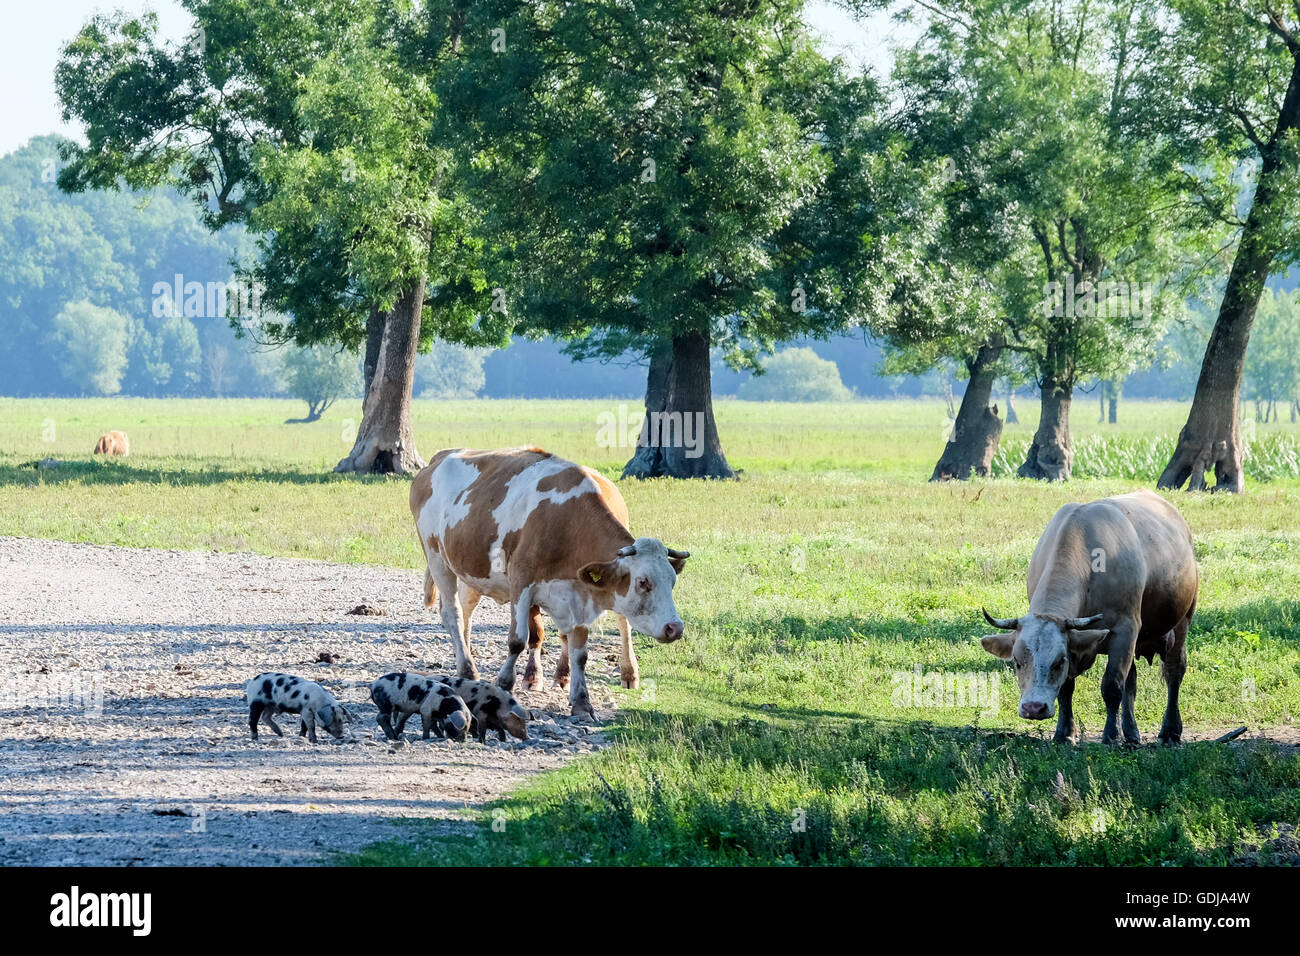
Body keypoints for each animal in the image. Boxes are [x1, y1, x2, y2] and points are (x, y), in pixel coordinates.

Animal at [409, 446, 689, 717]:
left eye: (673, 581)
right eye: (643, 582)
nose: (675, 628)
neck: (568, 523)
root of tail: (440, 457)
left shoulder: (580, 593)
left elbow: (579, 650)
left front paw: (582, 703)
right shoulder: (521, 581)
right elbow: (518, 640)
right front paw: (505, 684)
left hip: (472, 568)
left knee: (466, 612)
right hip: (436, 556)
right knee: (453, 614)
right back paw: (468, 670)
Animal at [978, 490, 1198, 745]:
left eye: (1058, 662)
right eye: (1016, 661)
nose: (1033, 708)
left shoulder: (1125, 630)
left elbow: (1112, 686)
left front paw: (1111, 735)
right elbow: (1068, 689)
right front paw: (1064, 732)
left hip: (1182, 620)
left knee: (1174, 672)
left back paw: (1170, 731)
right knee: (1132, 680)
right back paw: (1131, 733)